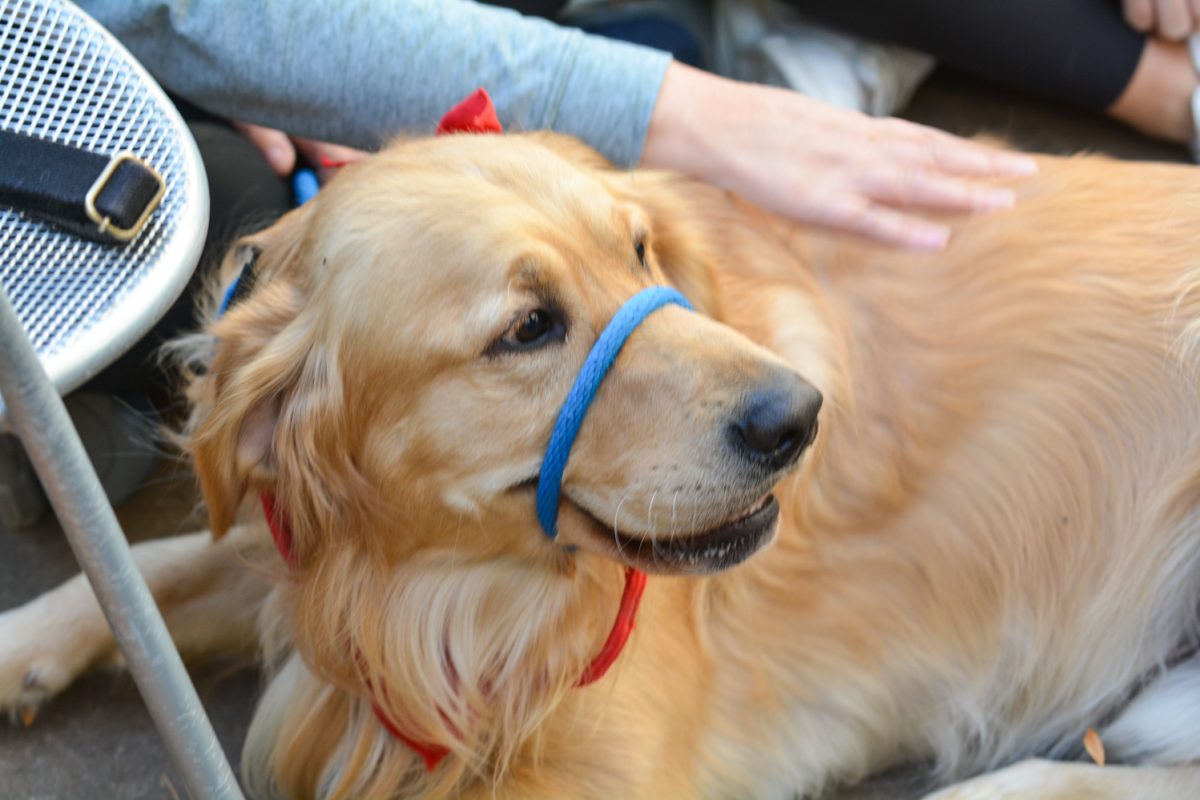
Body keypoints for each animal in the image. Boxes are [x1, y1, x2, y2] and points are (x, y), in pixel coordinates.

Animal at [2, 126, 1200, 800]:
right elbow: (142, 574)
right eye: (528, 327)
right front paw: (22, 647)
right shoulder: (296, 560)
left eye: (637, 251)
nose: (800, 418)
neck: (428, 586)